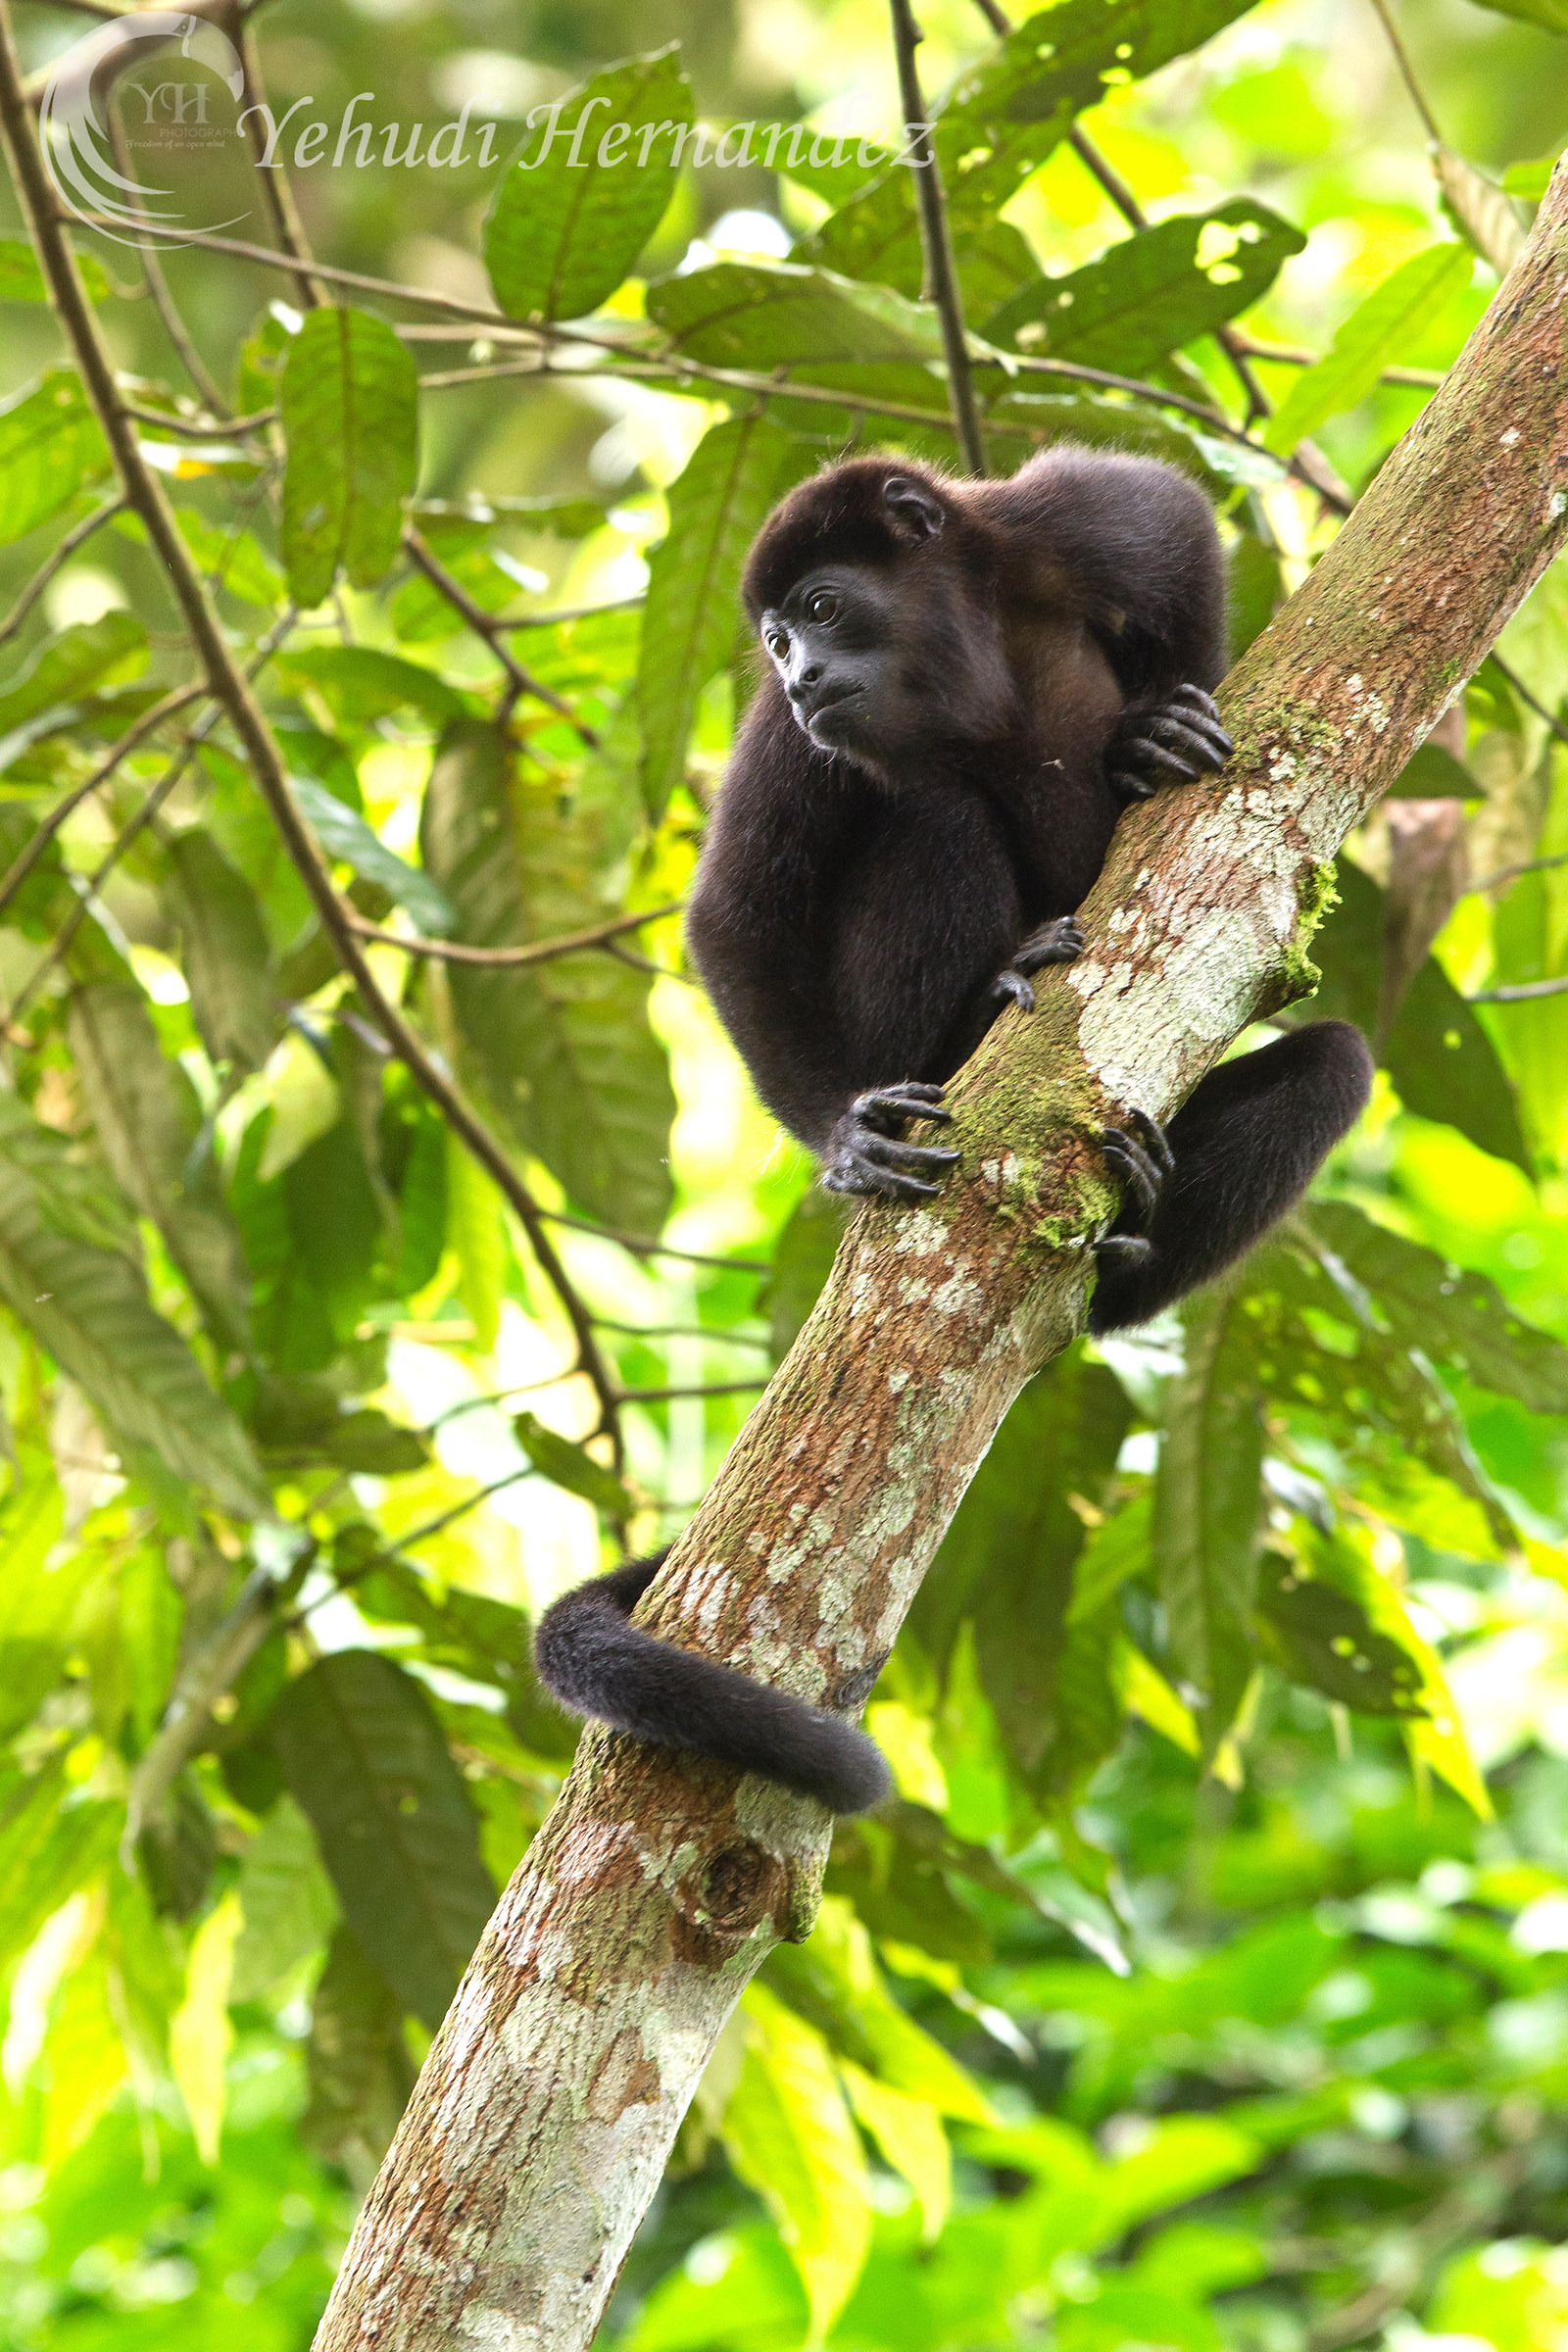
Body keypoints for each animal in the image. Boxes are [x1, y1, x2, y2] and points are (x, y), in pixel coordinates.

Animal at [533, 446, 1374, 1813]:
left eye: (821, 609)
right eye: (772, 638)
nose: (801, 672)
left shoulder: (1059, 524)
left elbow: (1176, 528)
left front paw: (1154, 728)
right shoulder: (786, 740)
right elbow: (736, 916)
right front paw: (847, 1145)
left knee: (1334, 1067)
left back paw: (1132, 1240)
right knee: (929, 810)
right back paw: (986, 1000)